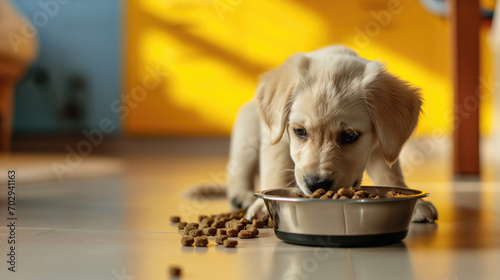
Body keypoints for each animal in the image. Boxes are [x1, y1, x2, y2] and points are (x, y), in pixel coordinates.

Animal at [229, 45, 440, 223]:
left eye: (349, 136)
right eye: (300, 131)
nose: (316, 184)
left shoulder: (382, 142)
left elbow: (390, 173)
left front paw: (415, 203)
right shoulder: (276, 137)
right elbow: (276, 166)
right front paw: (263, 206)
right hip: (246, 137)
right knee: (239, 171)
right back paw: (241, 195)